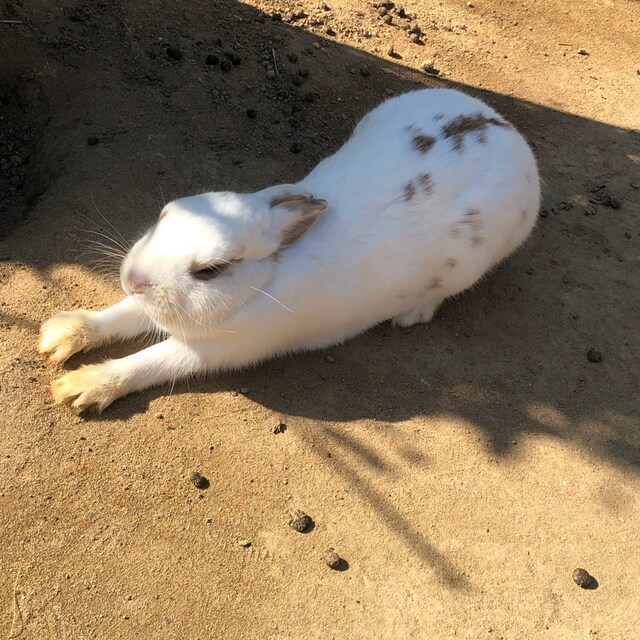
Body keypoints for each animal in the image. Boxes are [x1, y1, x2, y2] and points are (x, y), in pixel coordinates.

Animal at [39, 88, 540, 412]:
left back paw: (412, 314)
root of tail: (510, 134)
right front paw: (60, 335)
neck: (268, 276)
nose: (133, 279)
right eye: (165, 214)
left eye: (211, 270)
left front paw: (79, 388)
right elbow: (119, 316)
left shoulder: (219, 346)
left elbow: (152, 362)